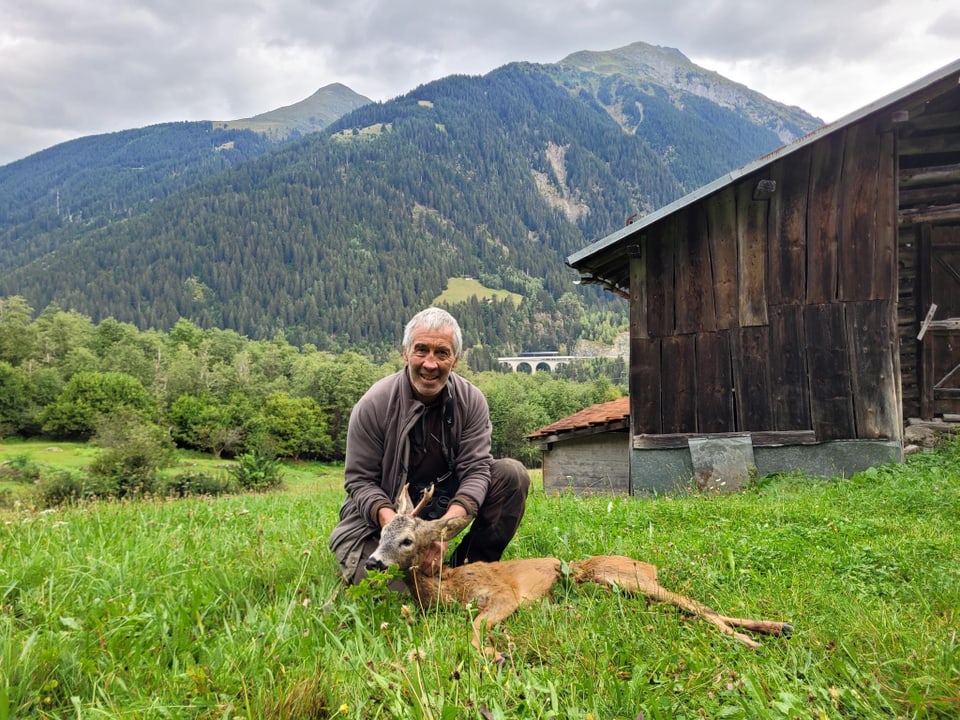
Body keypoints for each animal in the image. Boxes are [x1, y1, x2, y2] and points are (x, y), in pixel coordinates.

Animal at [364, 484, 792, 664]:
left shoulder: (502, 594)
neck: (446, 589)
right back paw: (776, 629)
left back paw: (756, 639)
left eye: (406, 540)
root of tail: (649, 565)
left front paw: (497, 654)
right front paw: (499, 650)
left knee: (697, 604)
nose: (372, 562)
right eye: (381, 533)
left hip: (624, 578)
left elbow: (474, 629)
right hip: (613, 587)